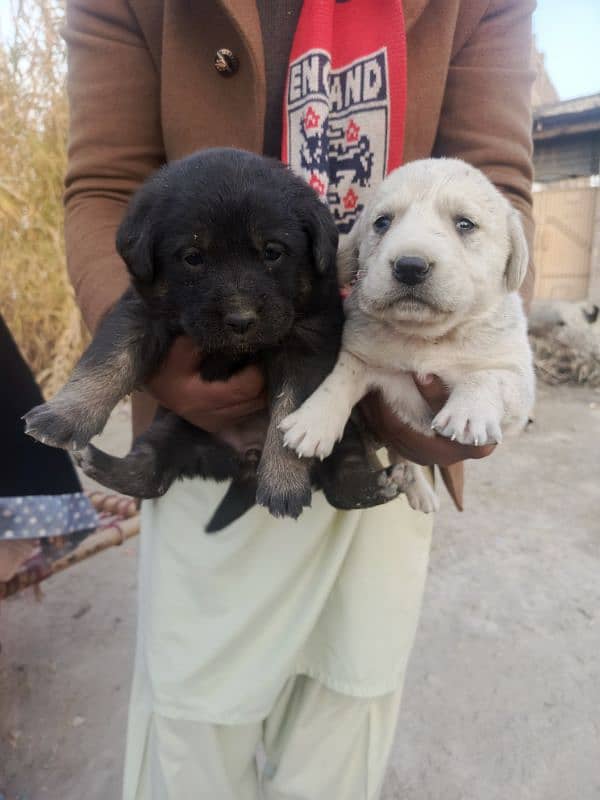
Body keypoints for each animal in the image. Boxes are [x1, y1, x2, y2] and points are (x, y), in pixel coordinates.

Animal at [24, 148, 398, 532]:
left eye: (272, 252)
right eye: (192, 257)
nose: (241, 320)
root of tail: (244, 459)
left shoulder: (307, 342)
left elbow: (289, 410)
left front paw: (284, 481)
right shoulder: (140, 313)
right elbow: (108, 360)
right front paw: (65, 415)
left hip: (344, 431)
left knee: (343, 478)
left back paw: (376, 485)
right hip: (174, 423)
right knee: (150, 471)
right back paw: (97, 462)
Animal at [280, 158, 536, 512]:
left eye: (465, 224)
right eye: (382, 222)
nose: (410, 266)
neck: (427, 337)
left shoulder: (518, 381)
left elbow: (487, 376)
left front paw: (468, 413)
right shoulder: (360, 352)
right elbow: (339, 380)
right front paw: (312, 422)